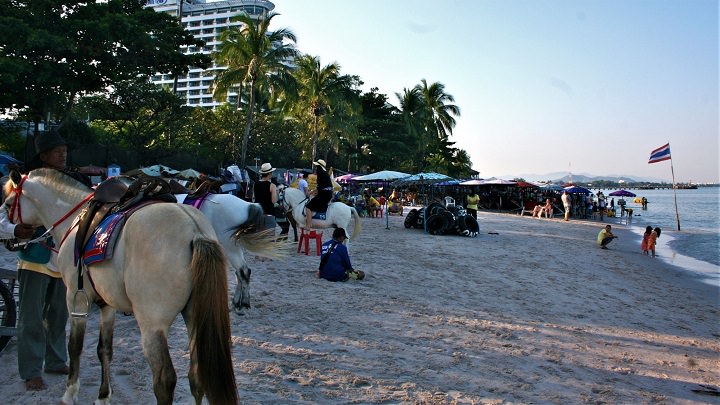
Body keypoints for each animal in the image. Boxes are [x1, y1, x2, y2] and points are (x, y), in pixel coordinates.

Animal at [4, 169, 238, 405]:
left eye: (7, 204)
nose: (8, 240)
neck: (75, 217)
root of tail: (194, 231)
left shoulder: (75, 298)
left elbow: (75, 346)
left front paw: (70, 394)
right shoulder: (107, 304)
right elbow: (104, 350)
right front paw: (103, 396)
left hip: (152, 325)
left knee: (164, 380)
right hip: (193, 316)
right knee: (196, 376)